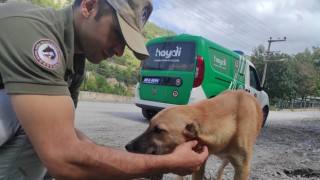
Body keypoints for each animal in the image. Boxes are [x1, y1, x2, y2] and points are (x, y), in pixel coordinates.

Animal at [125, 90, 262, 180]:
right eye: (149, 125)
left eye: (159, 130)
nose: (127, 146)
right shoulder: (198, 162)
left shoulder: (243, 168)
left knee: (221, 168)